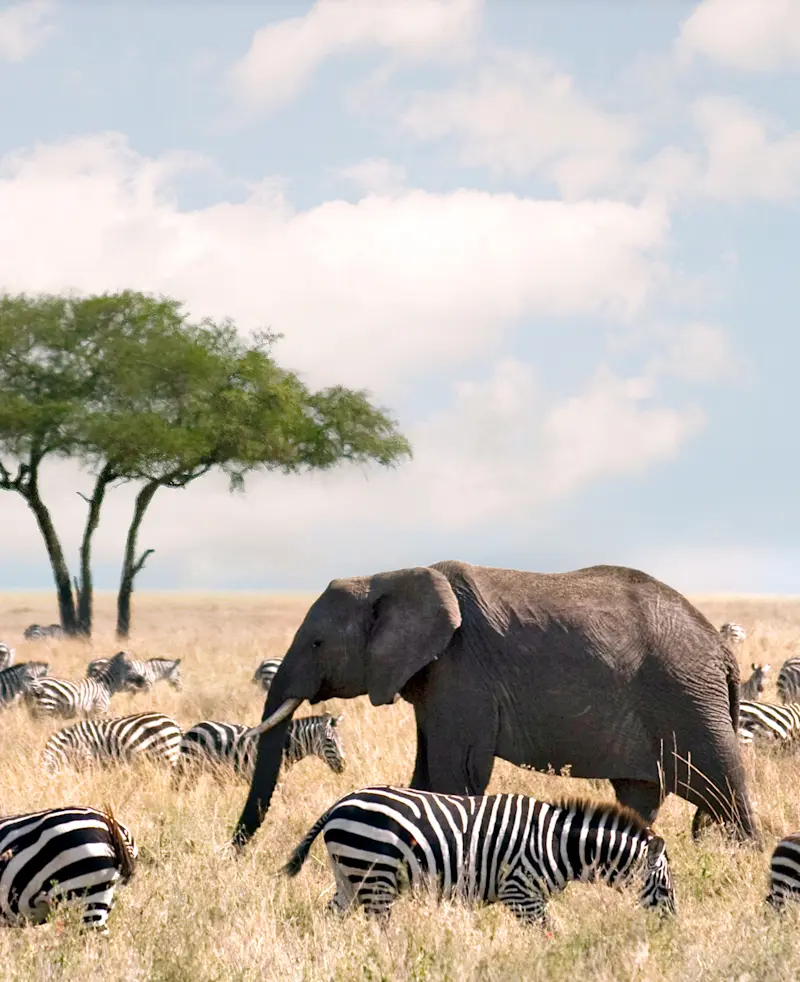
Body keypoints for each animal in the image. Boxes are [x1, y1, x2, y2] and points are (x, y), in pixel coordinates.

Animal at [231, 560, 759, 849]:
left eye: (317, 643)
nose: (234, 850)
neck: (388, 576)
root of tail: (722, 650)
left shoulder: (462, 670)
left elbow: (455, 771)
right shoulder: (433, 677)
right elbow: (427, 770)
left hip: (688, 696)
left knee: (724, 789)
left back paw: (744, 857)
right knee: (640, 794)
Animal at [282, 786, 676, 927]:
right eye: (666, 889)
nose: (671, 929)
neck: (558, 845)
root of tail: (340, 803)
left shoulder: (526, 898)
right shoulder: (520, 893)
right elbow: (549, 933)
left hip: (349, 876)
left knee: (330, 921)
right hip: (376, 877)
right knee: (381, 929)